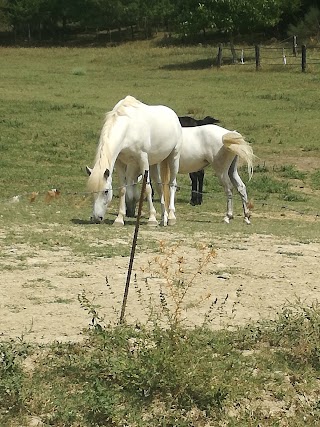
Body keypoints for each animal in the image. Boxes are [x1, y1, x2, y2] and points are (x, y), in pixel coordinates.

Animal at [86, 95, 182, 226]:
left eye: (106, 191)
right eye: (91, 192)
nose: (96, 218)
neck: (128, 127)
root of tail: (173, 115)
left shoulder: (143, 160)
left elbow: (147, 188)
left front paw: (152, 219)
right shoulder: (120, 163)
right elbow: (122, 189)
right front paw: (119, 219)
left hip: (174, 158)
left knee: (172, 184)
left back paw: (171, 217)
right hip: (154, 164)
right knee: (160, 187)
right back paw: (164, 218)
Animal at [126, 123, 254, 224]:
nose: (129, 213)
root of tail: (228, 133)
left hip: (221, 171)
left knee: (229, 189)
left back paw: (228, 216)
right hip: (232, 171)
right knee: (241, 187)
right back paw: (246, 216)